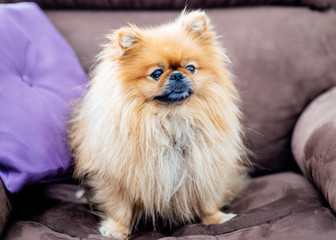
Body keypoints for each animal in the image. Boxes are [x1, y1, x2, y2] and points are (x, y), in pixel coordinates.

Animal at [69, 9, 249, 240]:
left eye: (191, 68)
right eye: (156, 73)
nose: (178, 75)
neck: (171, 120)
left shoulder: (204, 169)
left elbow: (207, 200)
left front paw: (216, 219)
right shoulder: (117, 178)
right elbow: (119, 207)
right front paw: (116, 230)